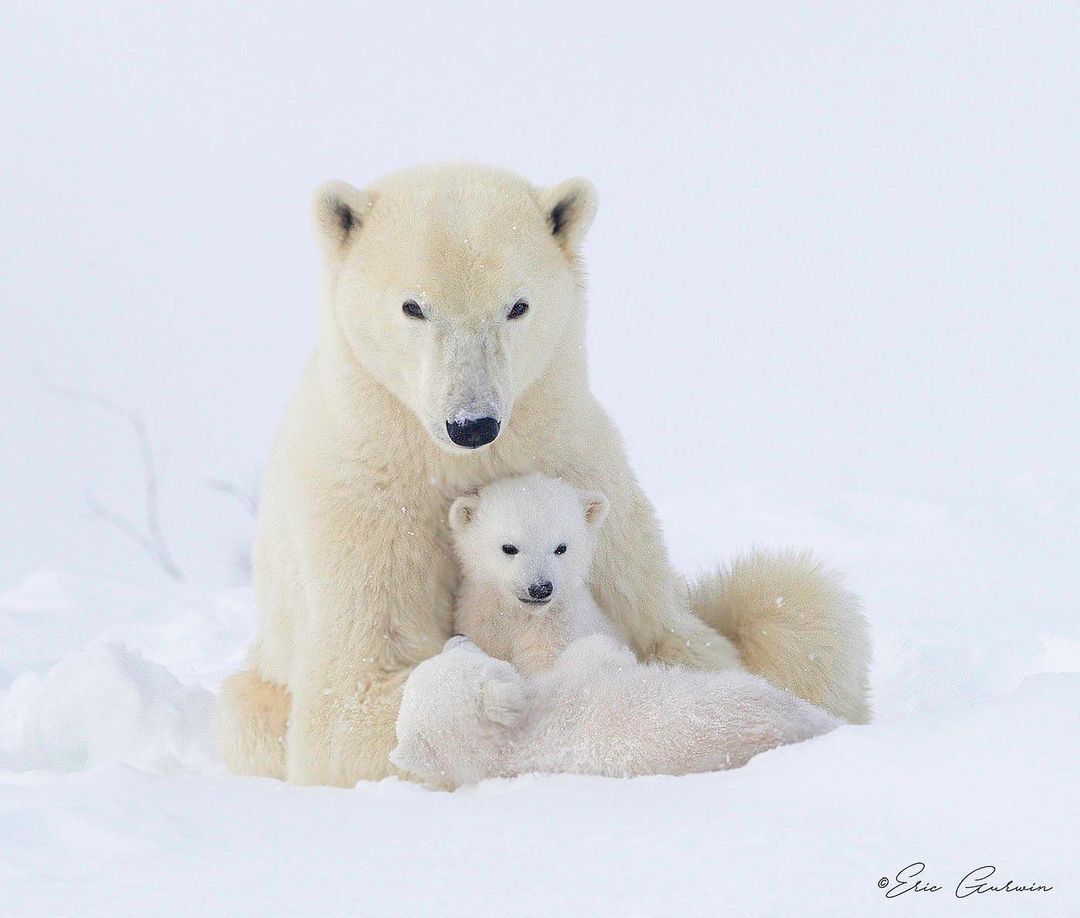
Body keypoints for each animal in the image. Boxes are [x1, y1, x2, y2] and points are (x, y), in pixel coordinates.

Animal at [217, 160, 868, 781]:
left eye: (517, 306)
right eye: (413, 306)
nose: (473, 423)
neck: (452, 462)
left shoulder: (580, 470)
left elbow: (676, 635)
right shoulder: (364, 509)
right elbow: (355, 694)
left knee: (797, 600)